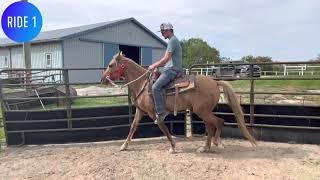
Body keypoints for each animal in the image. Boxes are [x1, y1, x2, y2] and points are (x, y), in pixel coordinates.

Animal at [101, 52, 256, 153]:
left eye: (110, 65)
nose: (102, 79)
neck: (142, 84)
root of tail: (214, 81)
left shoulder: (153, 113)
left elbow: (163, 128)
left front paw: (173, 146)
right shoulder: (141, 111)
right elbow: (133, 127)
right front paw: (124, 146)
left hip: (203, 111)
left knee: (219, 122)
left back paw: (216, 142)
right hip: (204, 112)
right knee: (211, 126)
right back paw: (205, 147)